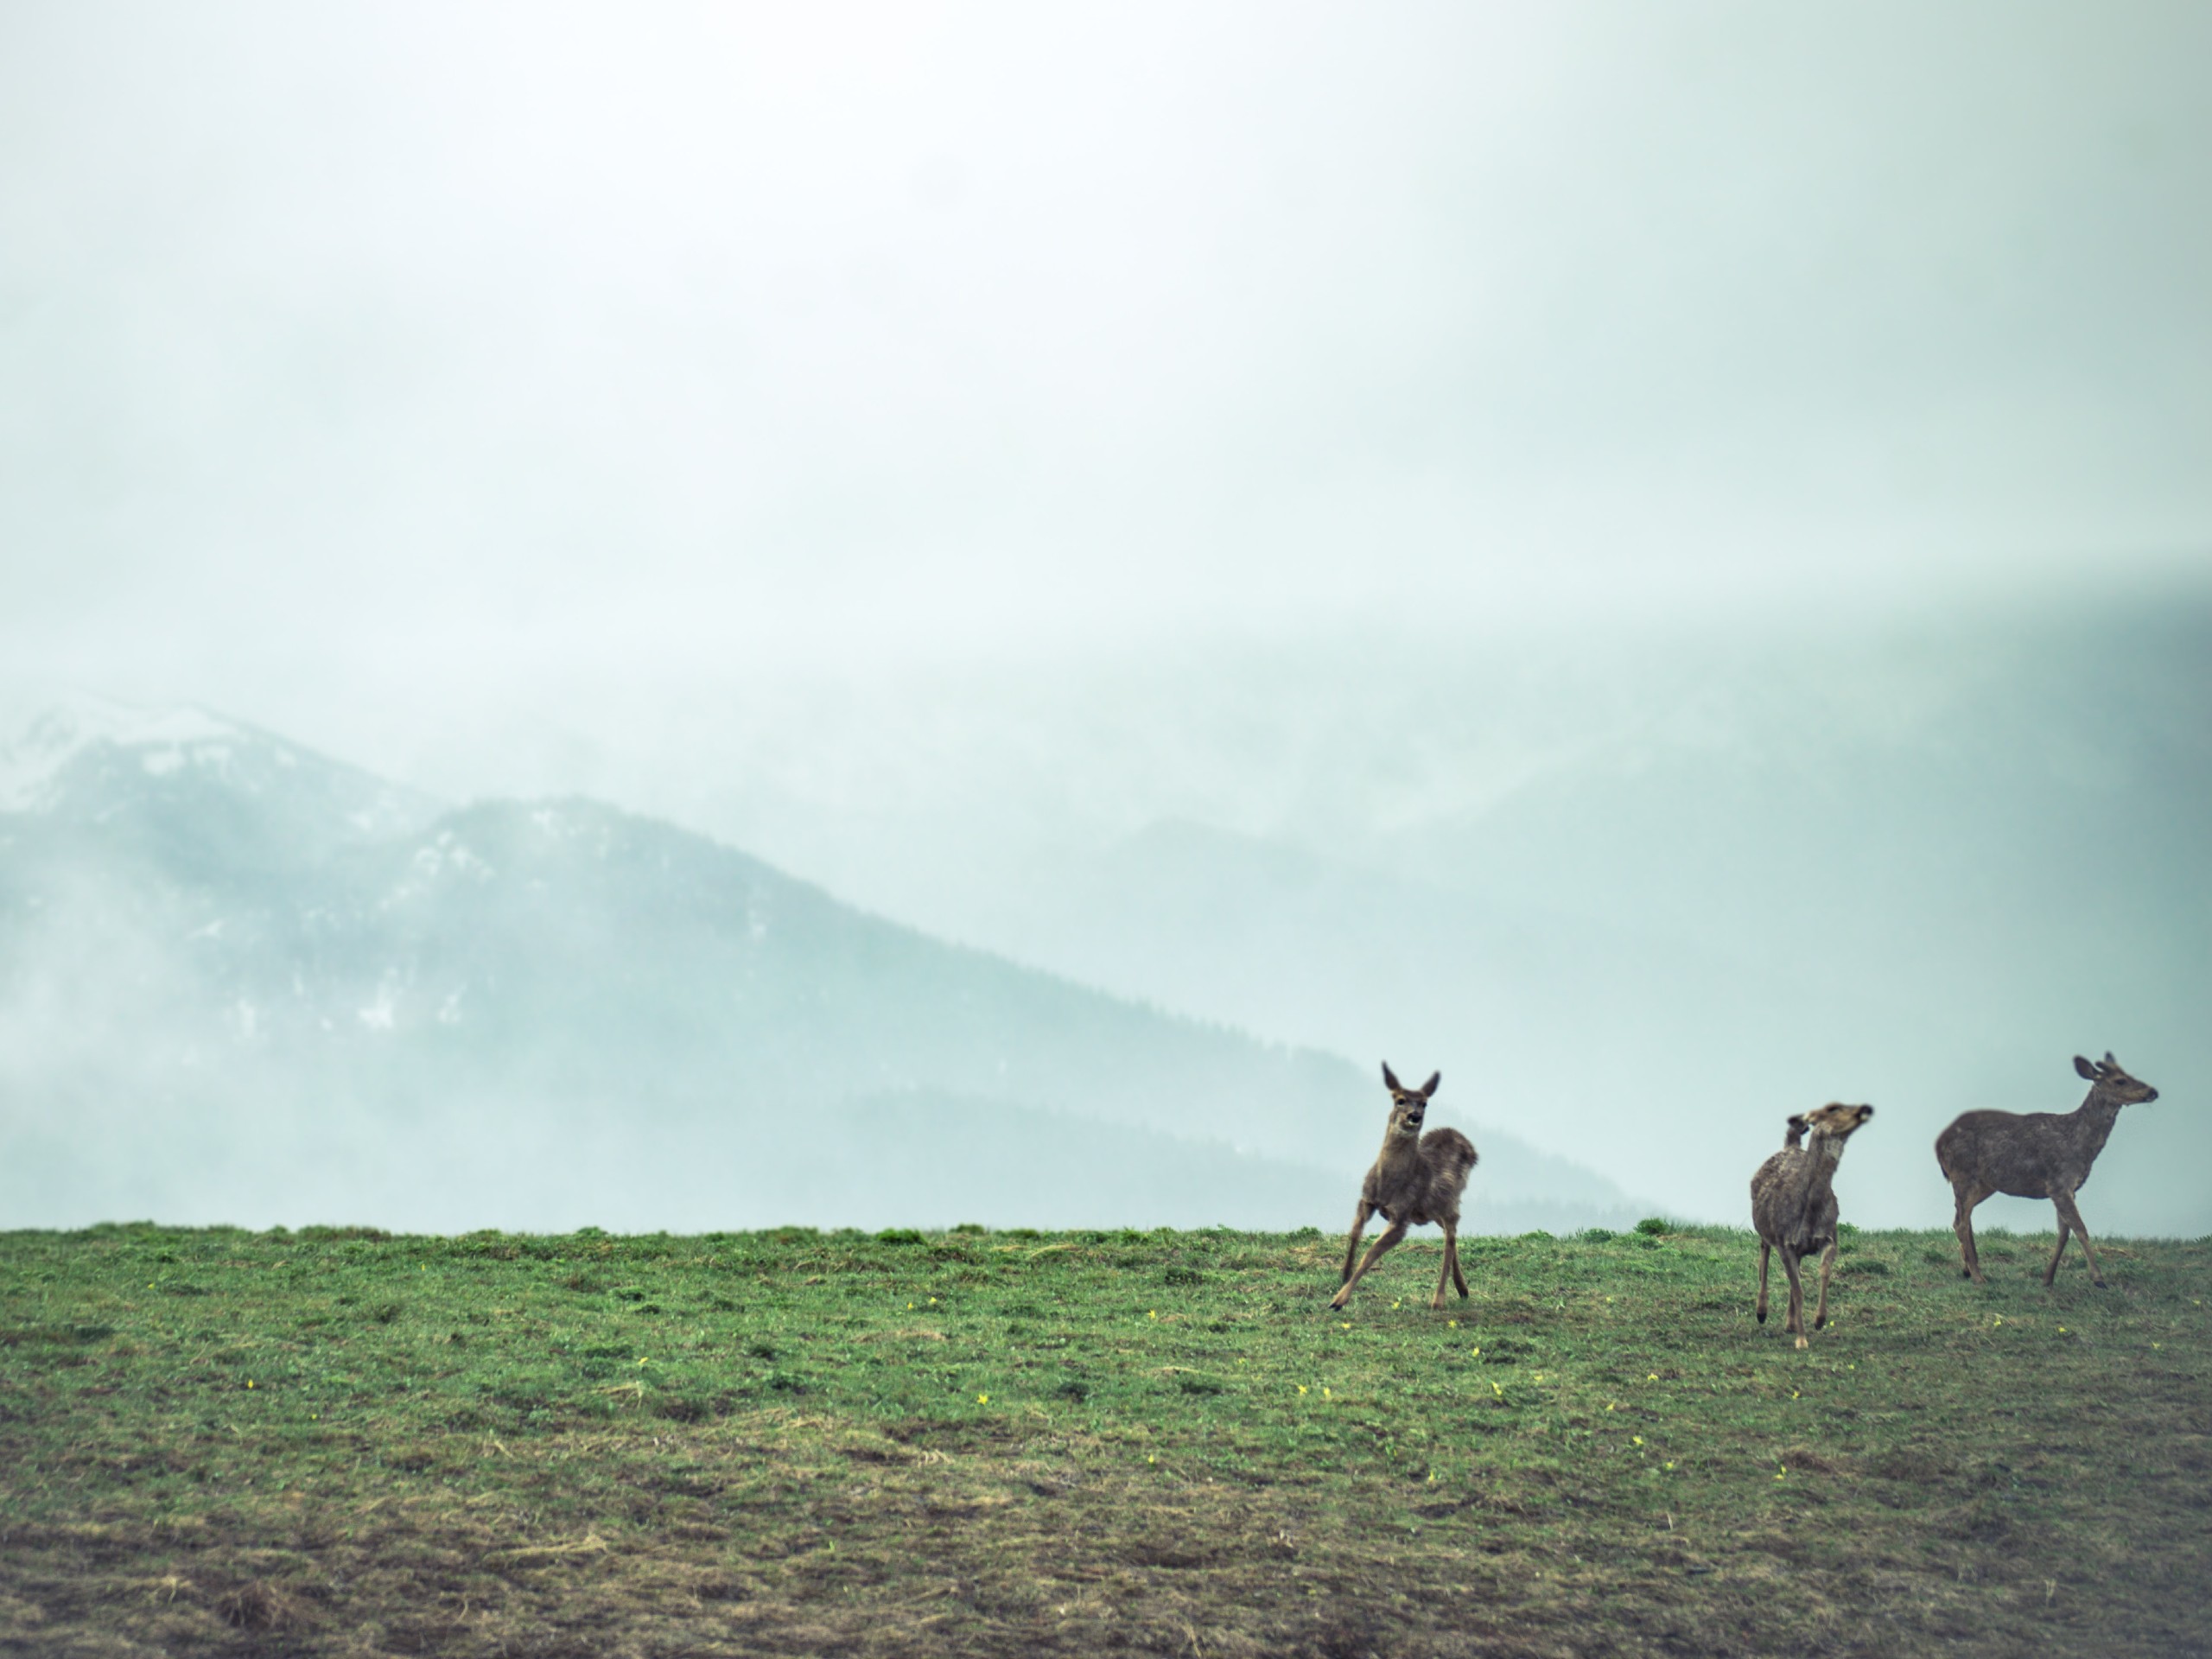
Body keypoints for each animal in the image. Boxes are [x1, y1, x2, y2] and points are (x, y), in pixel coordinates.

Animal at [1327, 1065, 1486, 1327]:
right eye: (1399, 1100)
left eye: (1424, 1103)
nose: (1414, 1116)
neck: (1389, 1185)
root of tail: (1469, 1146)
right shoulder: (1367, 1199)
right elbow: (1354, 1232)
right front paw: (1344, 1273)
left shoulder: (1401, 1217)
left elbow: (1371, 1253)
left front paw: (1338, 1301)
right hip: (1429, 1211)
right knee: (1450, 1234)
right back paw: (1462, 1289)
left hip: (1449, 1201)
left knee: (1450, 1236)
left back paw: (1439, 1299)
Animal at [1751, 1106, 1875, 1353]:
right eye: (1833, 1108)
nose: (1865, 1109)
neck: (1809, 1212)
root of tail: (1790, 1147)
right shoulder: (1784, 1242)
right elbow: (1799, 1290)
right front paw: (1802, 1340)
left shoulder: (1830, 1235)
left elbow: (1823, 1272)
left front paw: (1819, 1320)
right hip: (1766, 1229)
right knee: (1764, 1255)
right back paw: (1762, 1311)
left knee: (1794, 1273)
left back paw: (1789, 1322)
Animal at [1937, 1052, 2158, 1300]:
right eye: (2120, 1080)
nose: (2153, 1092)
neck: (2080, 1147)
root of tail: (1938, 1144)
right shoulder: (2059, 1184)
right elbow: (2080, 1229)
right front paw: (2099, 1279)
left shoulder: (2068, 1188)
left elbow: (2063, 1233)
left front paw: (2047, 1278)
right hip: (1963, 1174)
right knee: (1960, 1222)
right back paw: (1977, 1276)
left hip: (1985, 1184)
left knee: (1961, 1218)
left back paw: (1968, 1269)